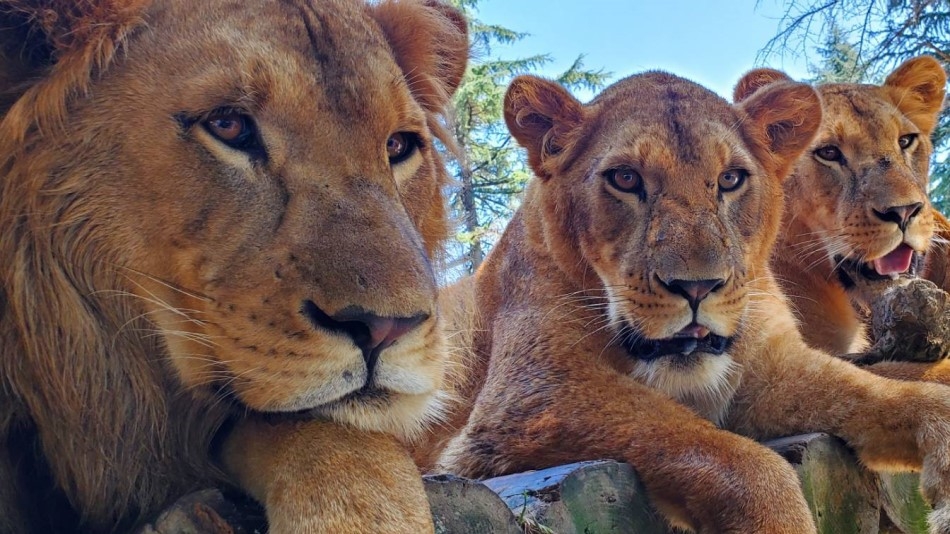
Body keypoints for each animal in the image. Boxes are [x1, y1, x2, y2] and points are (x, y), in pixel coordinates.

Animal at [418, 69, 950, 532]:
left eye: (731, 179)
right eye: (625, 179)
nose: (697, 287)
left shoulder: (771, 369)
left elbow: (892, 394)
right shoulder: (525, 403)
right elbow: (729, 454)